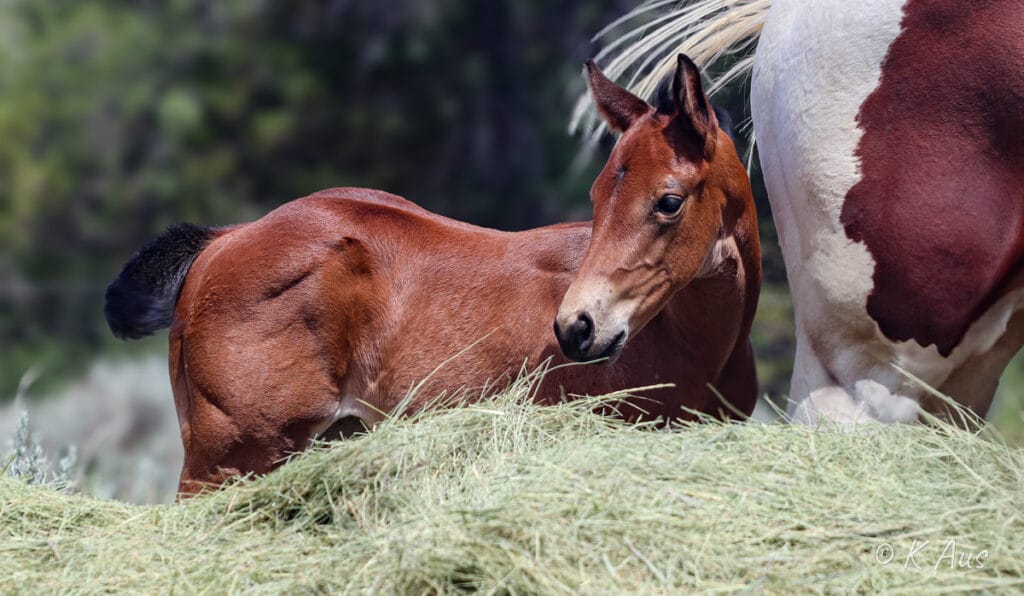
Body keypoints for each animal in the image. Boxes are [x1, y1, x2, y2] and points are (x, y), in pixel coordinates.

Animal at [105, 56, 761, 495]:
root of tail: (223, 240)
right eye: (598, 198)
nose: (577, 328)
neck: (692, 339)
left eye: (668, 202)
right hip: (230, 459)